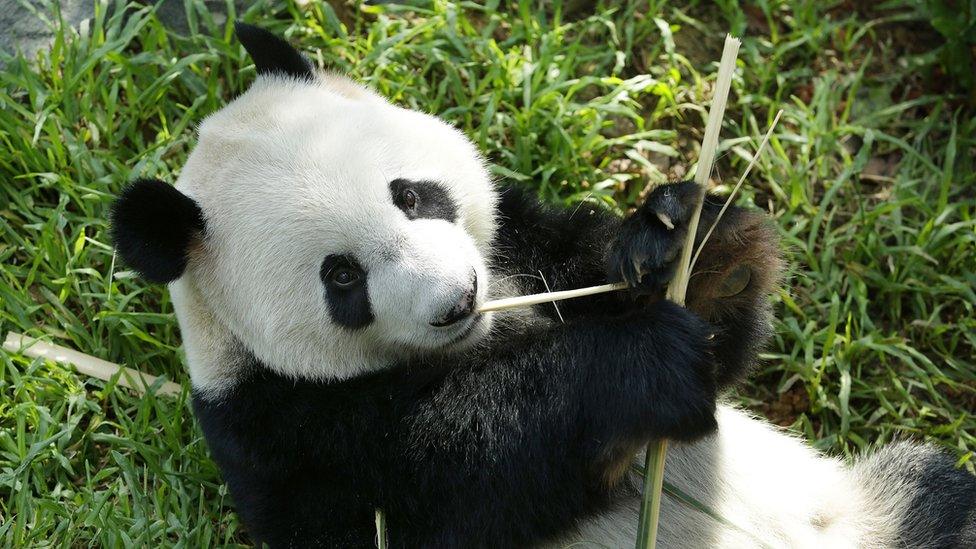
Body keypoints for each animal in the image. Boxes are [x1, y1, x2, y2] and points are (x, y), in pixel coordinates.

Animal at [110, 23, 976, 544]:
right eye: (342, 277)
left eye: (411, 194)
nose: (457, 297)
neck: (493, 330)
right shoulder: (279, 429)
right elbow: (459, 480)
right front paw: (640, 367)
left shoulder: (528, 246)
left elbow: (695, 328)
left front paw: (687, 246)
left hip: (868, 505)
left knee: (941, 495)